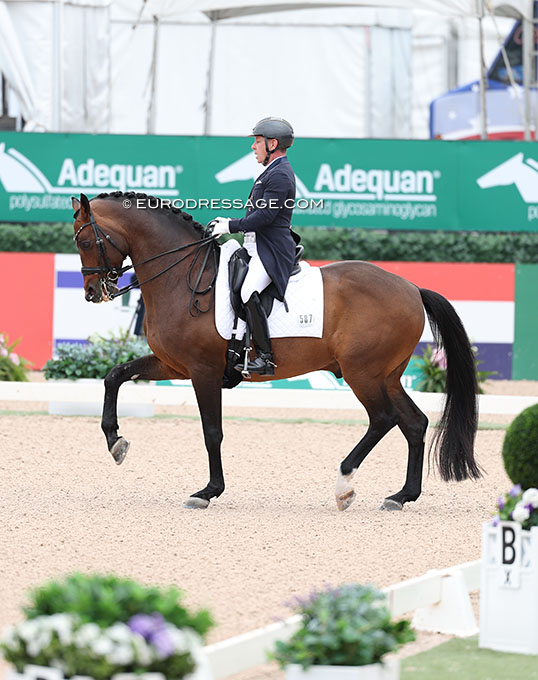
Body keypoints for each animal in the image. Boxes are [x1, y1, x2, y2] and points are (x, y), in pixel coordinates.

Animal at [71, 191, 481, 511]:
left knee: (383, 418)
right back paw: (401, 496)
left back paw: (344, 486)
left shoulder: (203, 370)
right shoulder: (174, 364)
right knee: (414, 422)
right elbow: (115, 376)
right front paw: (115, 442)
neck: (182, 277)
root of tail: (411, 287)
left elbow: (212, 431)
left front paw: (208, 491)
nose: (92, 293)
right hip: (387, 374)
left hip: (361, 372)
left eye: (86, 242)